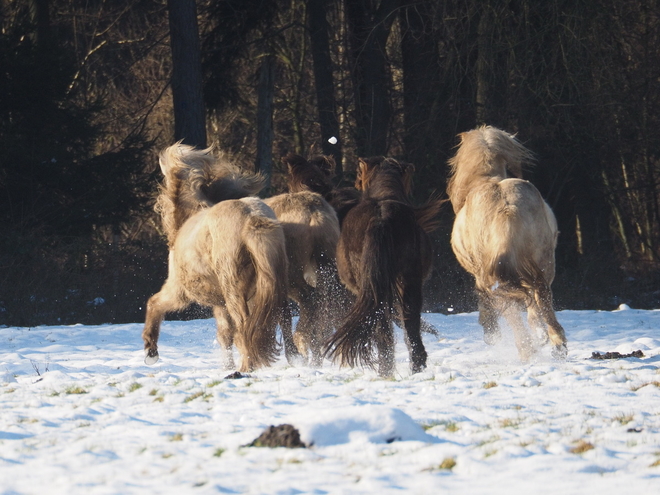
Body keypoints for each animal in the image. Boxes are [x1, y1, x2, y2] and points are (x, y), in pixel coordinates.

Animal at [142, 143, 288, 372]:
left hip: (234, 291)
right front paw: (227, 366)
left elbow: (154, 303)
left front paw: (151, 351)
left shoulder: (179, 291)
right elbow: (225, 334)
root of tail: (252, 218)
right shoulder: (220, 304)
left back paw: (246, 368)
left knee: (245, 327)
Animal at [322, 157, 440, 378]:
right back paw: (416, 365)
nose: (356, 184)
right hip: (408, 280)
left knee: (381, 324)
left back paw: (385, 368)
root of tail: (382, 218)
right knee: (409, 320)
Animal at [448, 126, 568, 362]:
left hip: (493, 274)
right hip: (542, 262)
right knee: (541, 296)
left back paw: (528, 349)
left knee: (513, 307)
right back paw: (552, 342)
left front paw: (491, 332)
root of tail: (507, 209)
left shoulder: (479, 275)